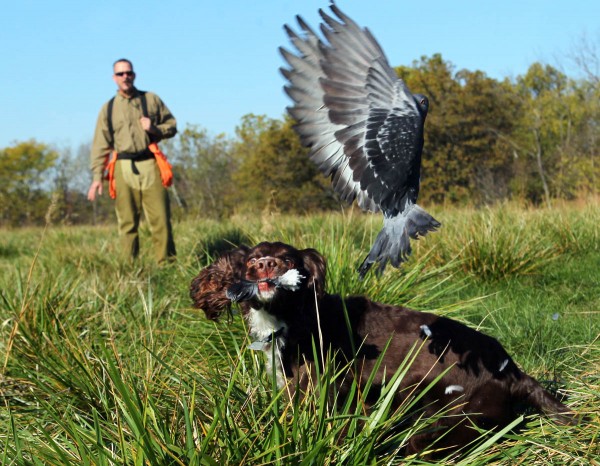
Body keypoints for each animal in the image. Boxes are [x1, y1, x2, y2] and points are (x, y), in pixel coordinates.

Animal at [190, 242, 576, 454]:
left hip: (439, 410)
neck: (292, 317)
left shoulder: (323, 391)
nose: (265, 266)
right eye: (251, 261)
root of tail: (514, 372)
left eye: (286, 260)